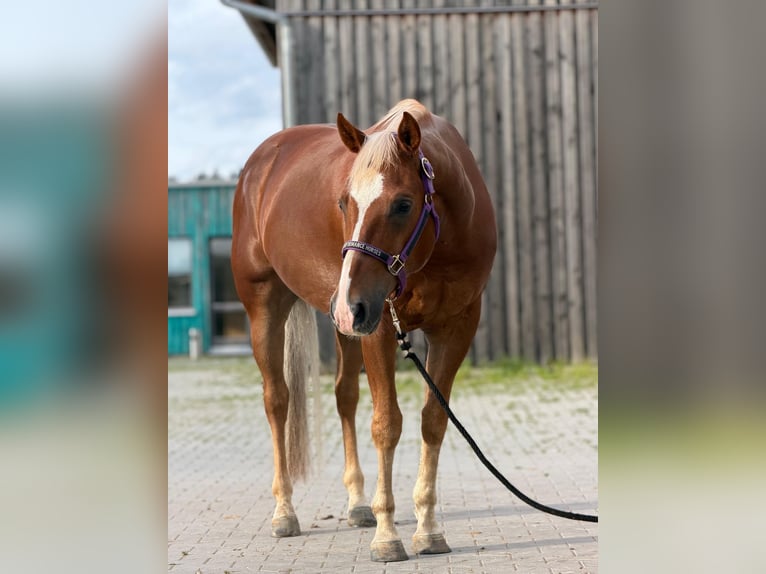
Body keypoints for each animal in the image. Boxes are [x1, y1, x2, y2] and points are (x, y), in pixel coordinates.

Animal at [231, 99, 497, 562]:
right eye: (343, 203)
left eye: (404, 205)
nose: (349, 303)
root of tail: (260, 163)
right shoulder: (380, 326)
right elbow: (386, 424)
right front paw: (388, 536)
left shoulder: (456, 327)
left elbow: (433, 420)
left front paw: (428, 530)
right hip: (273, 307)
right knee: (277, 399)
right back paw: (285, 512)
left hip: (345, 322)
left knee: (345, 396)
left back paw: (357, 505)